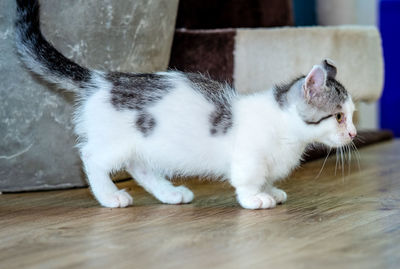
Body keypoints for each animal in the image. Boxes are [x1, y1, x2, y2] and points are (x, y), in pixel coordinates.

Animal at [14, 0, 356, 208]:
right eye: (339, 117)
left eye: (353, 115)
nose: (353, 133)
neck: (288, 132)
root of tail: (102, 79)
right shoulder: (248, 157)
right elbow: (248, 179)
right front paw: (255, 199)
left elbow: (267, 178)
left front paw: (270, 190)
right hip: (115, 142)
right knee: (92, 158)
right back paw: (110, 196)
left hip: (145, 144)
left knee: (139, 167)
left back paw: (170, 193)